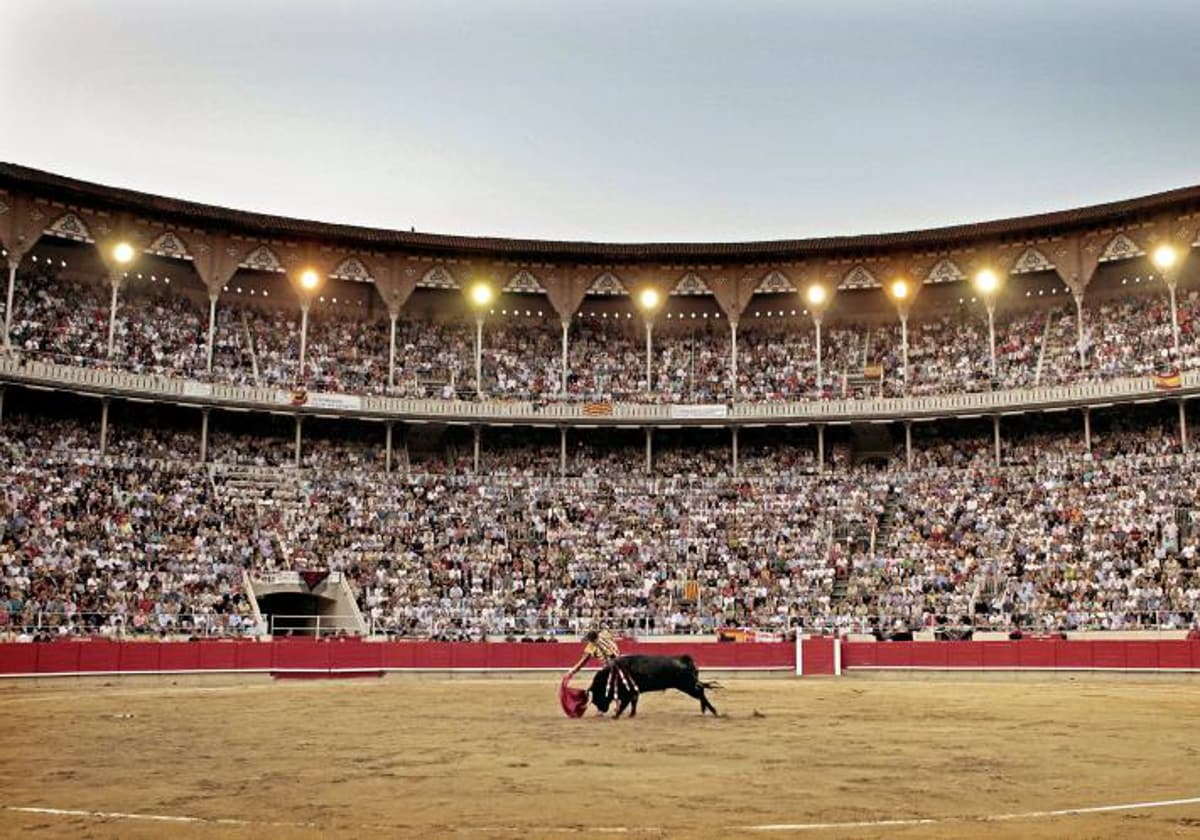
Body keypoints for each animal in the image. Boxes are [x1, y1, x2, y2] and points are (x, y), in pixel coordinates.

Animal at [585, 652, 715, 720]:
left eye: (598, 693)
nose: (601, 710)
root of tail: (685, 659)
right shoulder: (634, 692)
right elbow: (634, 702)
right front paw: (632, 715)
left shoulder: (628, 693)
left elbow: (624, 705)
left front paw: (616, 715)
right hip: (689, 685)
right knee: (701, 691)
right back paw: (706, 710)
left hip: (687, 685)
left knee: (700, 692)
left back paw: (713, 711)